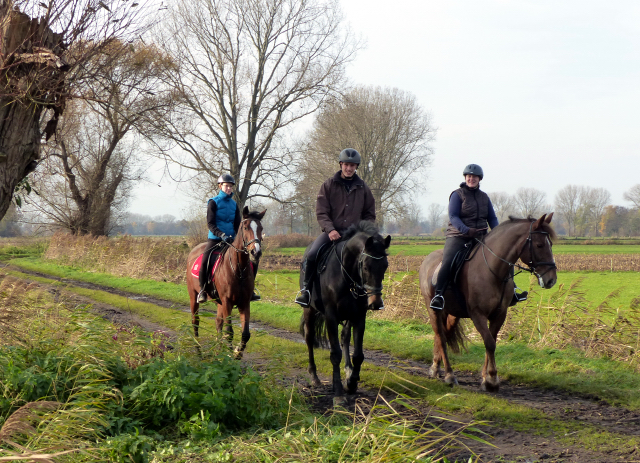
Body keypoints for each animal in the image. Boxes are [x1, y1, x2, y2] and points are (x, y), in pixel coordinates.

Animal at [185, 208, 264, 360]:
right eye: (245, 227)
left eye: (261, 228)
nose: (255, 252)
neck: (238, 269)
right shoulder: (227, 302)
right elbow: (229, 332)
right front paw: (230, 355)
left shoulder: (244, 303)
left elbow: (245, 334)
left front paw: (237, 353)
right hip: (194, 297)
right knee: (195, 322)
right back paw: (199, 351)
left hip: (220, 303)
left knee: (218, 323)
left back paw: (217, 350)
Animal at [420, 214, 556, 392]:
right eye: (539, 245)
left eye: (550, 244)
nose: (551, 280)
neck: (492, 270)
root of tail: (428, 259)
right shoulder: (478, 314)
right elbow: (489, 343)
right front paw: (491, 379)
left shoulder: (499, 314)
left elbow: (491, 342)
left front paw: (486, 378)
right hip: (434, 310)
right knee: (441, 337)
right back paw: (449, 375)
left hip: (452, 313)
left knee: (443, 334)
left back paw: (435, 367)